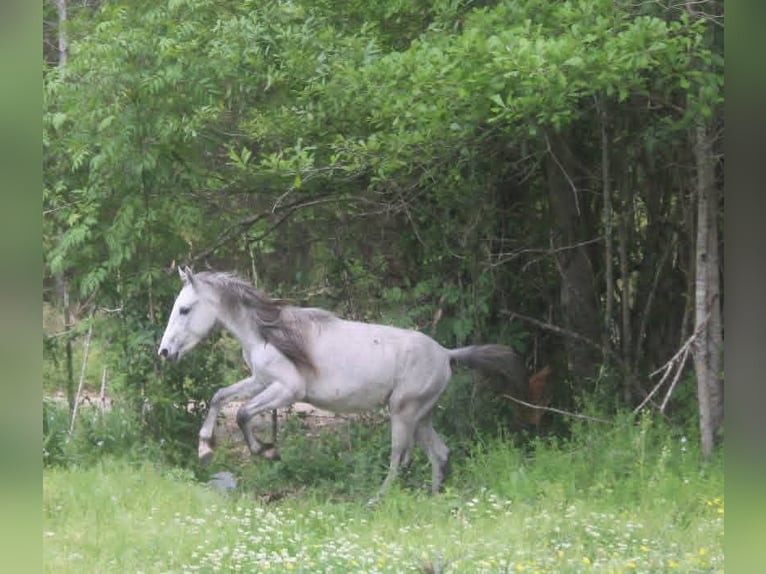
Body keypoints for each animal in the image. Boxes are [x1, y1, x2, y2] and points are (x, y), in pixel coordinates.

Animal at [158, 267, 526, 500]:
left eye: (185, 309)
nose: (165, 352)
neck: (269, 334)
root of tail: (447, 354)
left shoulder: (287, 390)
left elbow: (242, 414)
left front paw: (266, 451)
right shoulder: (260, 380)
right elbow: (219, 397)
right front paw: (205, 450)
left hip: (403, 413)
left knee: (400, 456)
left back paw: (378, 498)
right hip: (422, 416)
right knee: (440, 454)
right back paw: (433, 499)